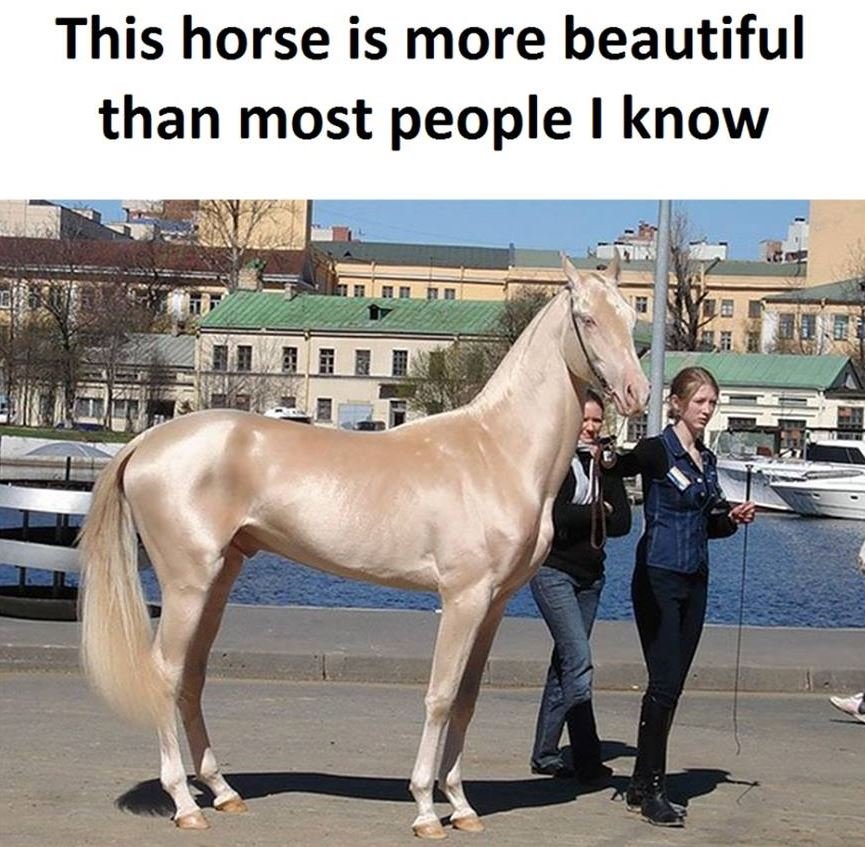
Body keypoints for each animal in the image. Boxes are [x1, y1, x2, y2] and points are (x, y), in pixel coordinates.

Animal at [79, 253, 649, 838]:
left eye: (631, 317)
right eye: (586, 319)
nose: (637, 393)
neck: (496, 452)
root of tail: (147, 441)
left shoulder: (493, 606)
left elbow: (466, 700)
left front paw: (462, 805)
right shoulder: (463, 598)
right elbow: (441, 697)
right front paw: (426, 810)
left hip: (219, 579)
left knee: (192, 675)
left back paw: (222, 792)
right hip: (187, 583)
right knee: (166, 674)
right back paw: (185, 804)